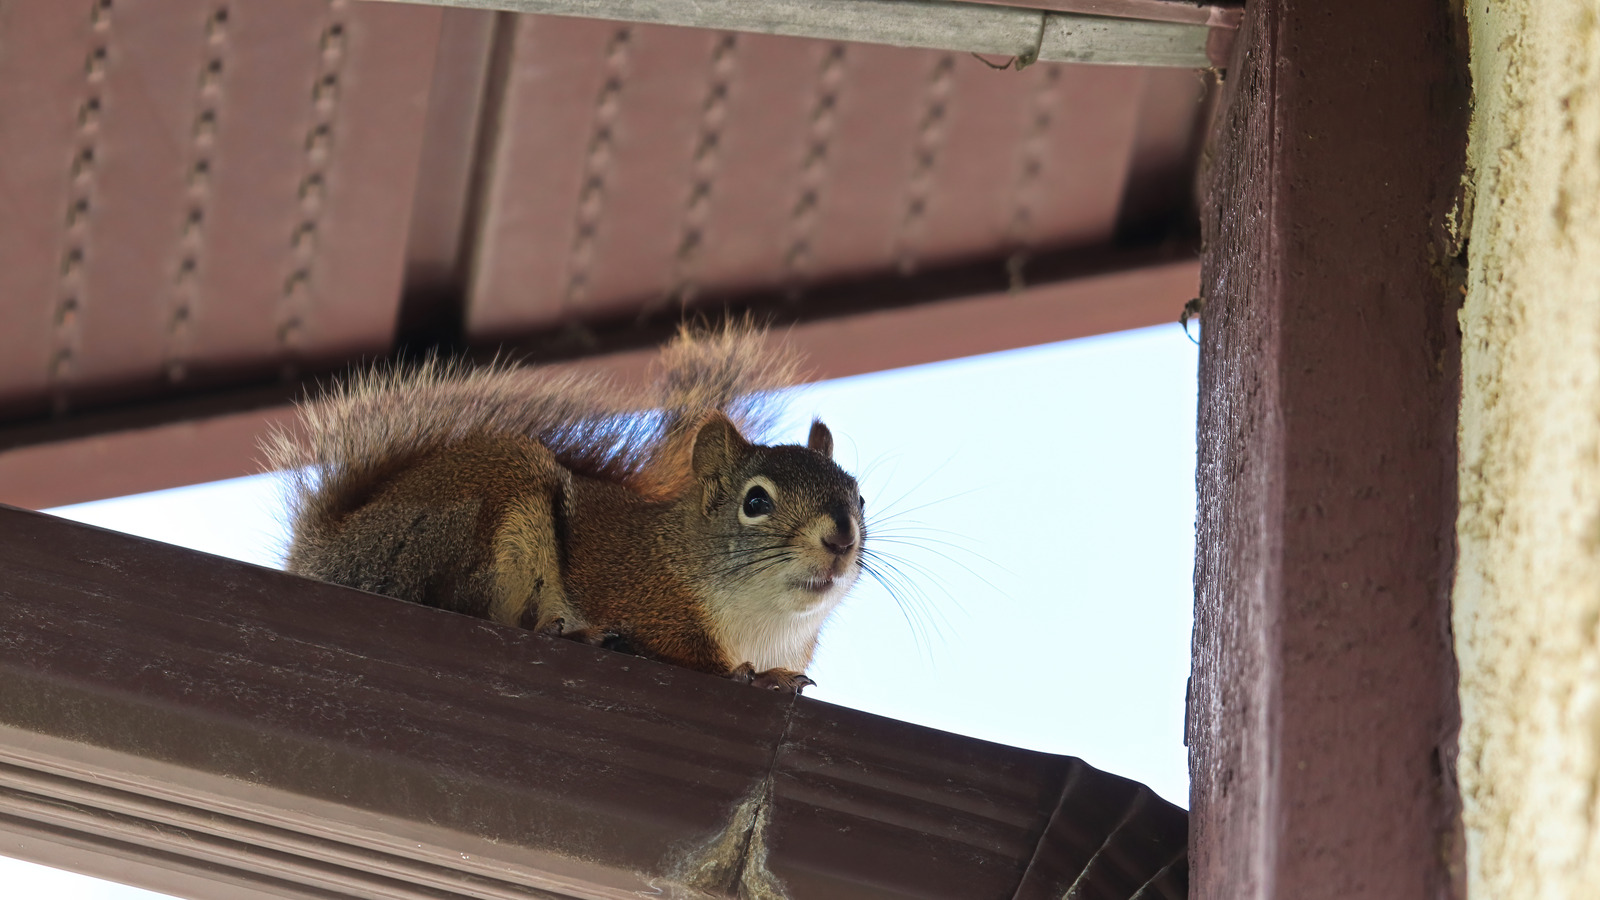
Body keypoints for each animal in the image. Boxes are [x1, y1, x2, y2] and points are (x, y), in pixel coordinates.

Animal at [265, 325, 864, 688]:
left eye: (858, 495)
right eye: (755, 501)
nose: (841, 537)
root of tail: (329, 552)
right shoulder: (648, 600)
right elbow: (689, 655)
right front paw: (755, 677)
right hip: (472, 522)